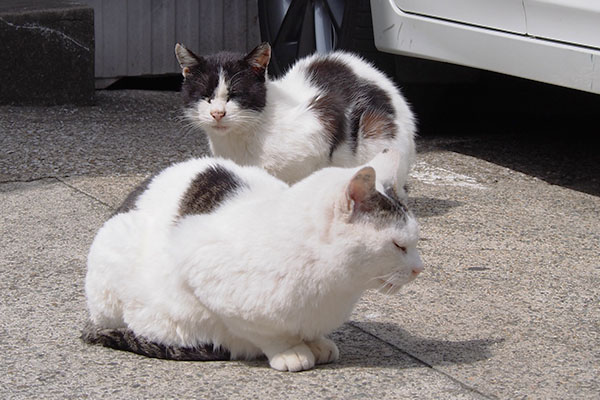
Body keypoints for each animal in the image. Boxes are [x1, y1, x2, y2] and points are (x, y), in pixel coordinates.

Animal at [83, 149, 422, 372]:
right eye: (398, 245)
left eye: (415, 241)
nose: (419, 268)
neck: (337, 286)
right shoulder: (203, 274)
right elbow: (264, 333)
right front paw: (291, 351)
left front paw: (316, 342)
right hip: (115, 251)